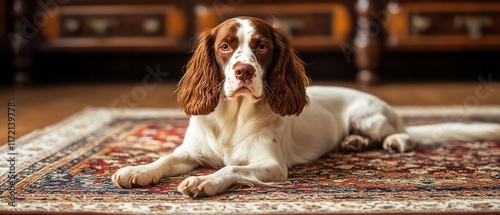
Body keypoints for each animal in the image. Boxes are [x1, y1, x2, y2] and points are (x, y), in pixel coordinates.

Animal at [111, 16, 500, 197]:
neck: (235, 115)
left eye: (262, 46)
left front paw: (203, 182)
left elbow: (230, 168)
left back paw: (394, 140)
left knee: (403, 133)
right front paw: (136, 170)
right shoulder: (190, 151)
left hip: (368, 115)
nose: (243, 71)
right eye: (225, 46)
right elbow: (165, 159)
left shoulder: (271, 166)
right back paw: (352, 142)